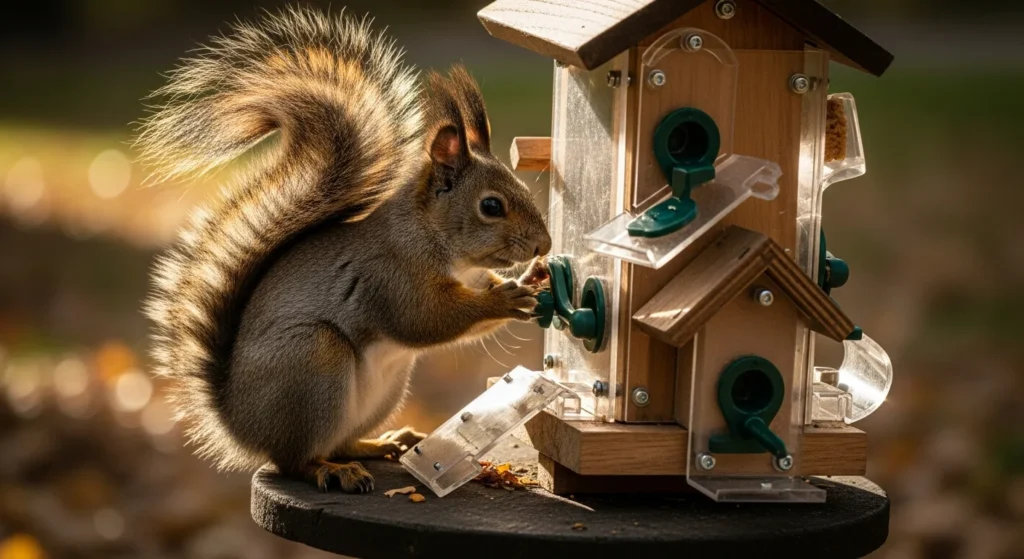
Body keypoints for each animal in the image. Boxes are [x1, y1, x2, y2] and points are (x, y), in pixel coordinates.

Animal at [135, 7, 552, 493]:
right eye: (491, 206)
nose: (544, 244)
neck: (439, 245)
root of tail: (240, 423)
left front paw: (529, 279)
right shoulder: (390, 275)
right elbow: (426, 319)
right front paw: (503, 299)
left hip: (388, 387)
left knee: (338, 443)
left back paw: (380, 443)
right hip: (315, 361)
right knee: (294, 460)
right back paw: (333, 471)